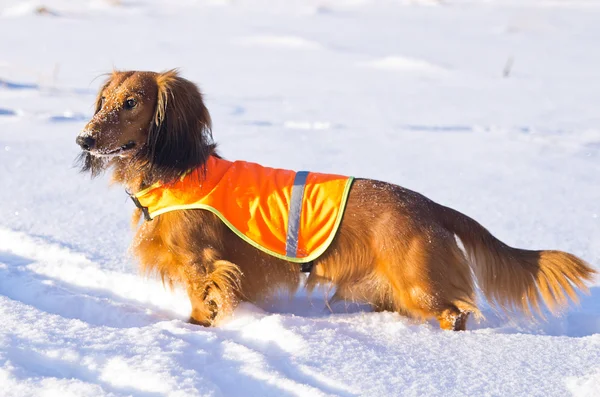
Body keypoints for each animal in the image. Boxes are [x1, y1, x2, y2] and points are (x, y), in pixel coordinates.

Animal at [76, 69, 596, 330]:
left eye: (132, 103)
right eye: (104, 101)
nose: (84, 139)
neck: (175, 170)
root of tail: (429, 205)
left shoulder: (204, 263)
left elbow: (206, 302)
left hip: (421, 287)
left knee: (455, 314)